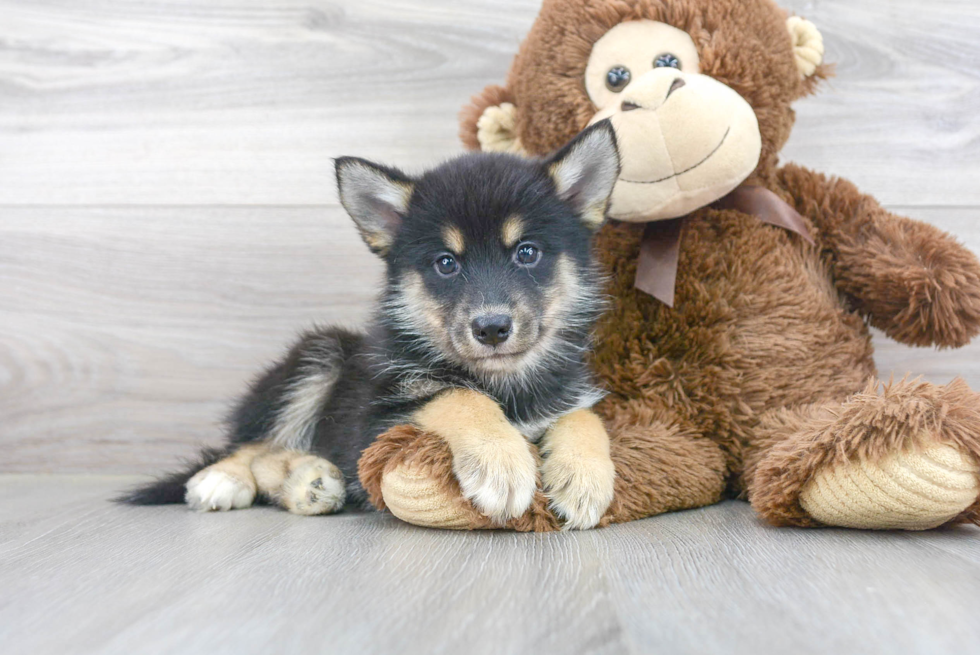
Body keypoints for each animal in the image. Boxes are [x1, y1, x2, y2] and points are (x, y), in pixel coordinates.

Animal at [122, 120, 620, 528]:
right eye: (445, 263)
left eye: (527, 252)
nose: (492, 328)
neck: (505, 384)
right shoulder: (376, 421)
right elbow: (458, 395)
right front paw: (502, 463)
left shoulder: (568, 394)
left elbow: (585, 417)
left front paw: (584, 478)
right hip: (318, 355)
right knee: (251, 447)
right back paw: (227, 479)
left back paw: (311, 484)